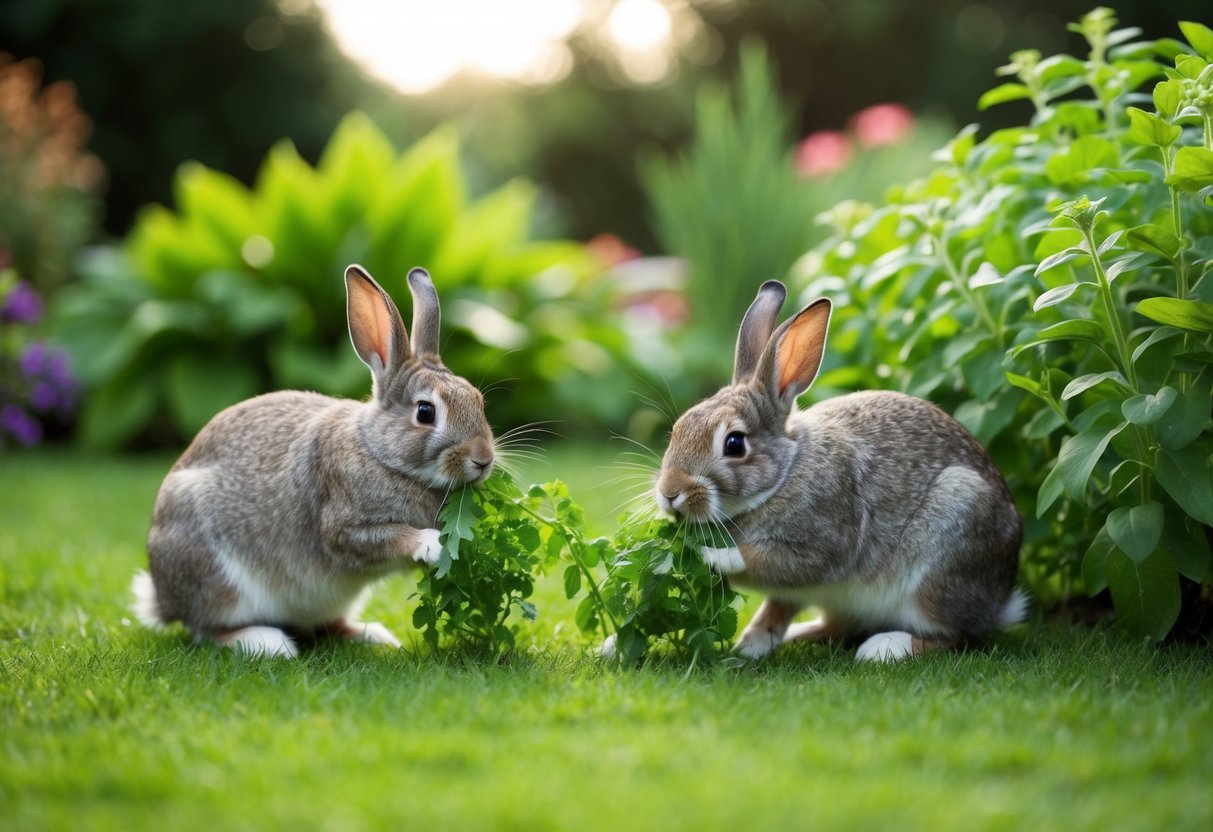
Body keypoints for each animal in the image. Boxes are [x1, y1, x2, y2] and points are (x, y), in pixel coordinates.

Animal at [132, 265, 495, 658]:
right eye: (425, 412)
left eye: (478, 401)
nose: (483, 459)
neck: (380, 452)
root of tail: (163, 600)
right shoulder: (342, 528)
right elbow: (387, 538)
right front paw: (434, 544)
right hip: (214, 575)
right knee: (207, 630)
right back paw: (268, 642)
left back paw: (374, 636)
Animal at [654, 280, 1025, 662]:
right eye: (678, 429)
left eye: (734, 444)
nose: (669, 493)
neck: (784, 475)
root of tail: (1000, 600)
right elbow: (775, 606)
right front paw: (749, 647)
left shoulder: (820, 542)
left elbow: (758, 558)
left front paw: (708, 555)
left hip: (948, 542)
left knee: (954, 636)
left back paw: (882, 648)